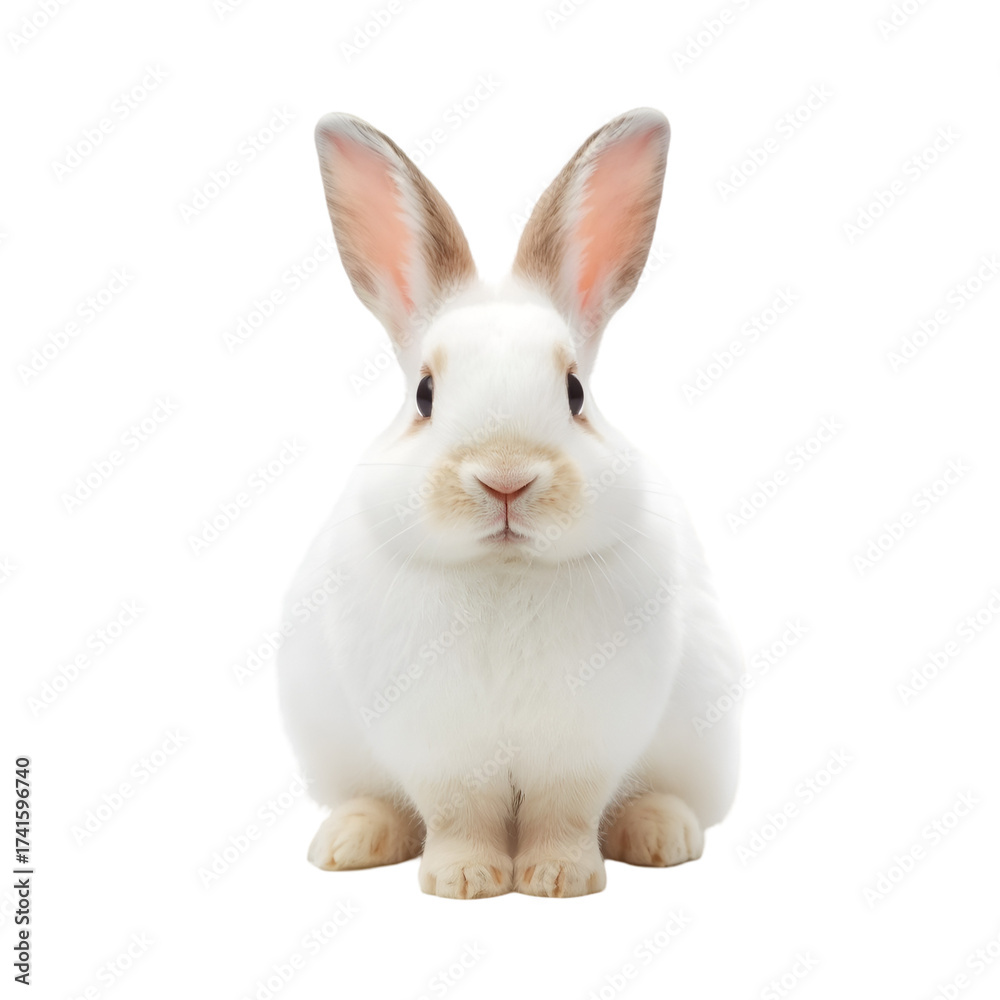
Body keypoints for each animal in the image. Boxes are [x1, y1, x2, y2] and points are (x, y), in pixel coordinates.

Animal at [276, 107, 743, 898]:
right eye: (425, 395)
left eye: (576, 392)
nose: (505, 479)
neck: (505, 569)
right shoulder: (437, 746)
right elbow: (457, 814)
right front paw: (464, 880)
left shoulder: (584, 744)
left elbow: (566, 811)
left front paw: (559, 878)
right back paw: (350, 841)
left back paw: (660, 833)